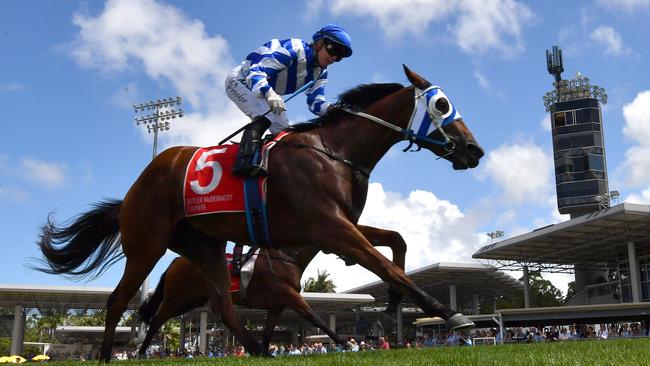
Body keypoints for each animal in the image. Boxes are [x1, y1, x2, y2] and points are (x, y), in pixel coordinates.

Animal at [35, 66, 480, 360]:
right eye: (442, 105)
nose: (474, 150)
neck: (333, 153)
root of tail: (131, 192)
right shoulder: (329, 227)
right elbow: (382, 266)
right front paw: (449, 313)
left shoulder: (337, 225)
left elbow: (397, 244)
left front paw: (389, 312)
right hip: (147, 246)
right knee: (119, 302)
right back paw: (110, 356)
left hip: (205, 248)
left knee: (222, 306)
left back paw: (255, 350)